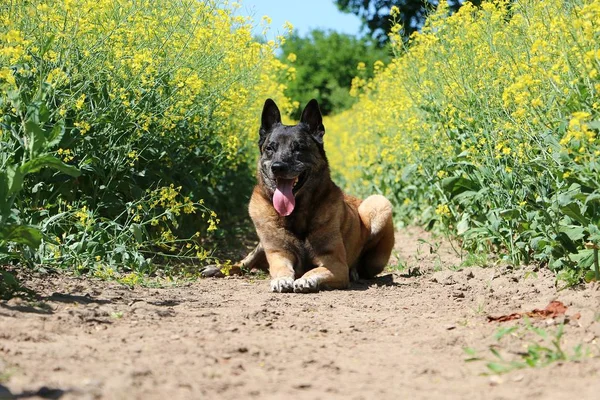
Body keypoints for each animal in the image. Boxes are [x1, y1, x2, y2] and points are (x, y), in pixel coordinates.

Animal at [204, 98, 396, 292]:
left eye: (299, 148)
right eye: (270, 148)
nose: (278, 167)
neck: (296, 214)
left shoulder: (335, 263)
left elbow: (315, 270)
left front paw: (306, 279)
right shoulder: (279, 254)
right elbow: (280, 269)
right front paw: (281, 280)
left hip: (378, 203)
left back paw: (355, 271)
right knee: (245, 261)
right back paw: (218, 268)